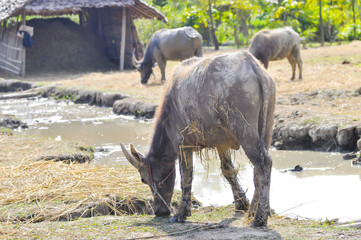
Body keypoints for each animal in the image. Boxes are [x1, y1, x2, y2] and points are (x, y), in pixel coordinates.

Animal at [119, 50, 274, 227]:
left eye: (143, 179)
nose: (159, 211)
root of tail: (252, 65)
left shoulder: (182, 145)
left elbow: (186, 176)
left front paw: (181, 213)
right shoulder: (221, 144)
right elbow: (228, 170)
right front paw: (241, 203)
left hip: (244, 130)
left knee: (263, 163)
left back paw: (259, 218)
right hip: (266, 128)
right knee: (258, 170)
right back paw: (254, 211)